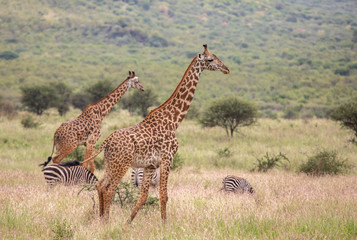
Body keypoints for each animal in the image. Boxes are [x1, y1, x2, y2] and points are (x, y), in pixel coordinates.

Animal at [81, 44, 229, 223]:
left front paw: (128, 223)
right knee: (109, 189)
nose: (226, 69)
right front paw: (164, 224)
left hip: (111, 163)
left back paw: (102, 219)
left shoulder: (150, 165)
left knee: (100, 185)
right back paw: (107, 222)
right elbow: (164, 195)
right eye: (210, 59)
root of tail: (107, 141)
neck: (173, 121)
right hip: (122, 164)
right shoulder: (167, 159)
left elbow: (143, 196)